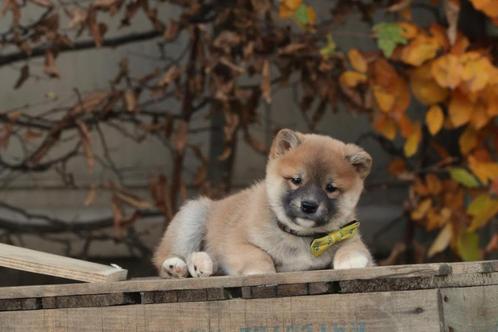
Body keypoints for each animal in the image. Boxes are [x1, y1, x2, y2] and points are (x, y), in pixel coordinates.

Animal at [153, 129, 374, 278]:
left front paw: (352, 260)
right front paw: (261, 271)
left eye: (330, 188)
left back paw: (201, 263)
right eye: (296, 180)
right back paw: (177, 266)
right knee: (168, 256)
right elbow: (258, 255)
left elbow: (353, 247)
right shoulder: (236, 243)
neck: (301, 237)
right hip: (192, 217)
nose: (309, 205)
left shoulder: (351, 235)